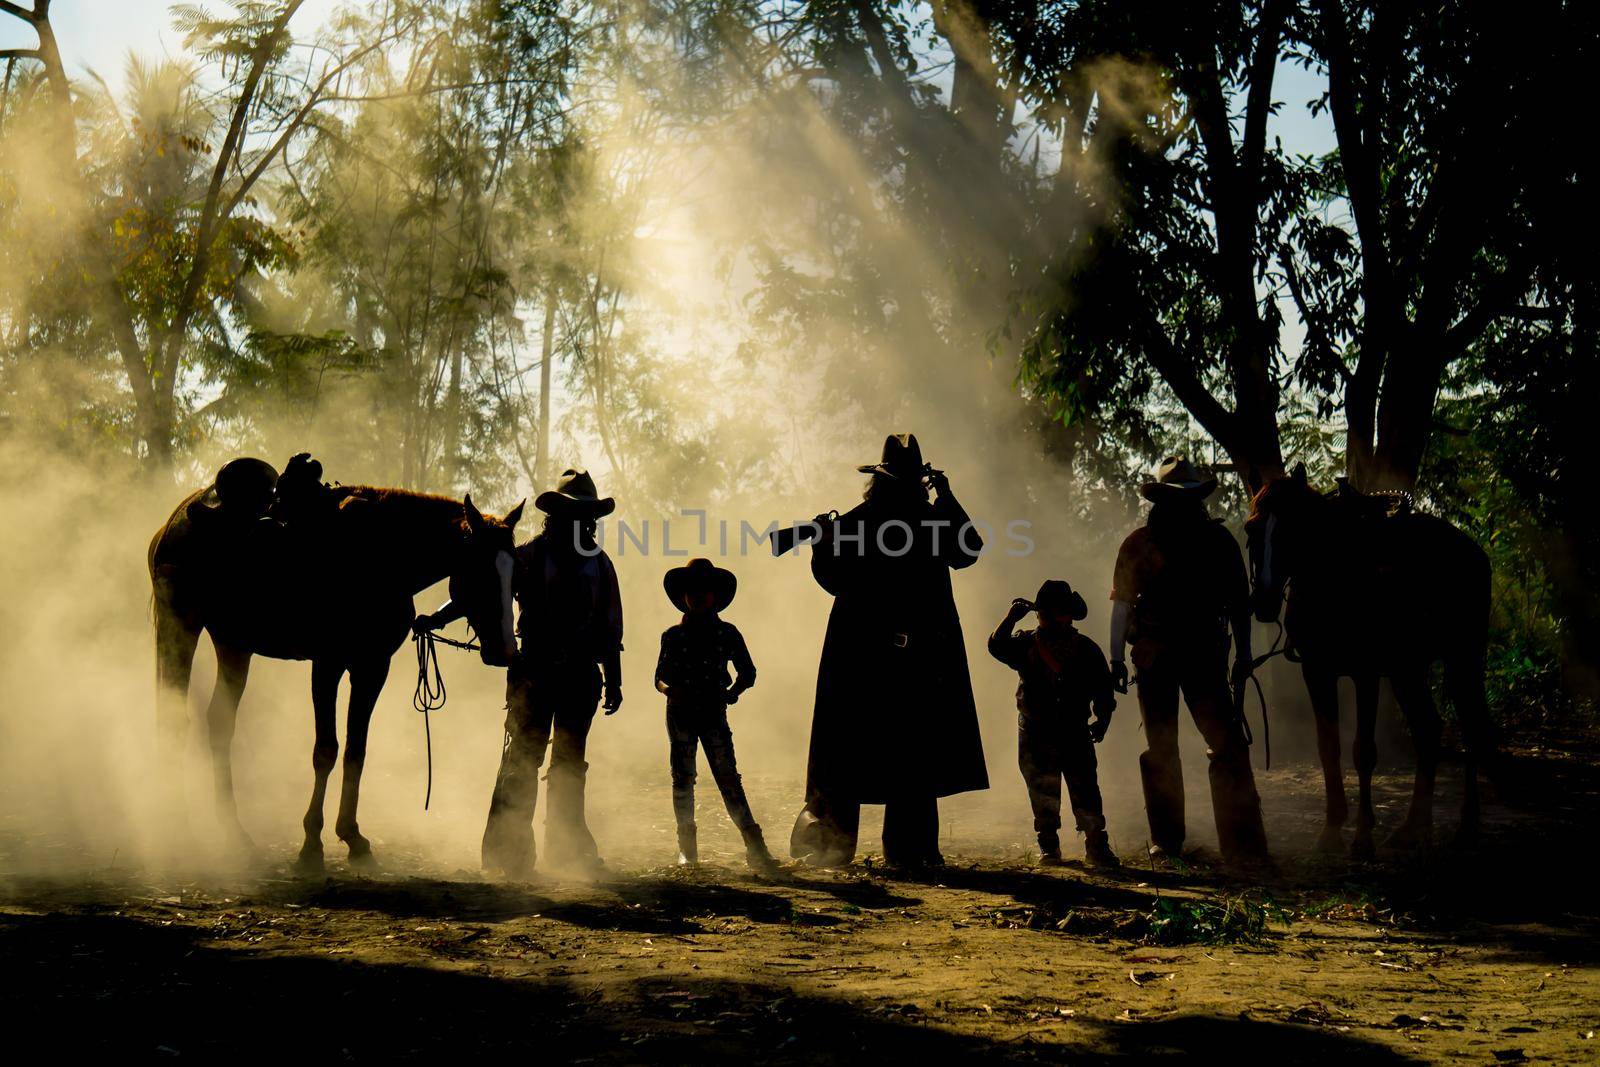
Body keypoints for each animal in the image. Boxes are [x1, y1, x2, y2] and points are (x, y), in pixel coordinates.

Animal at [150, 460, 524, 870]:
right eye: (481, 572)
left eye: (515, 573)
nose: (506, 651)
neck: (378, 558)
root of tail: (174, 521)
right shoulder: (327, 665)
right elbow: (326, 749)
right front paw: (312, 842)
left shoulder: (372, 668)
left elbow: (356, 751)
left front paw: (353, 836)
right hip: (180, 626)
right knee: (172, 716)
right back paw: (179, 828)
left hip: (232, 645)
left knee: (220, 722)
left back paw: (235, 834)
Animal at [1248, 467, 1497, 857]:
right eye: (1251, 530)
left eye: (1295, 528)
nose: (1265, 600)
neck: (1334, 581)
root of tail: (1472, 552)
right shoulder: (1317, 672)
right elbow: (1328, 747)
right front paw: (1332, 829)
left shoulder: (1365, 675)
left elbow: (1363, 751)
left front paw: (1363, 836)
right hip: (1408, 671)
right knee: (1428, 730)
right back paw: (1412, 828)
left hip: (1463, 661)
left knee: (1473, 730)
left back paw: (1466, 827)